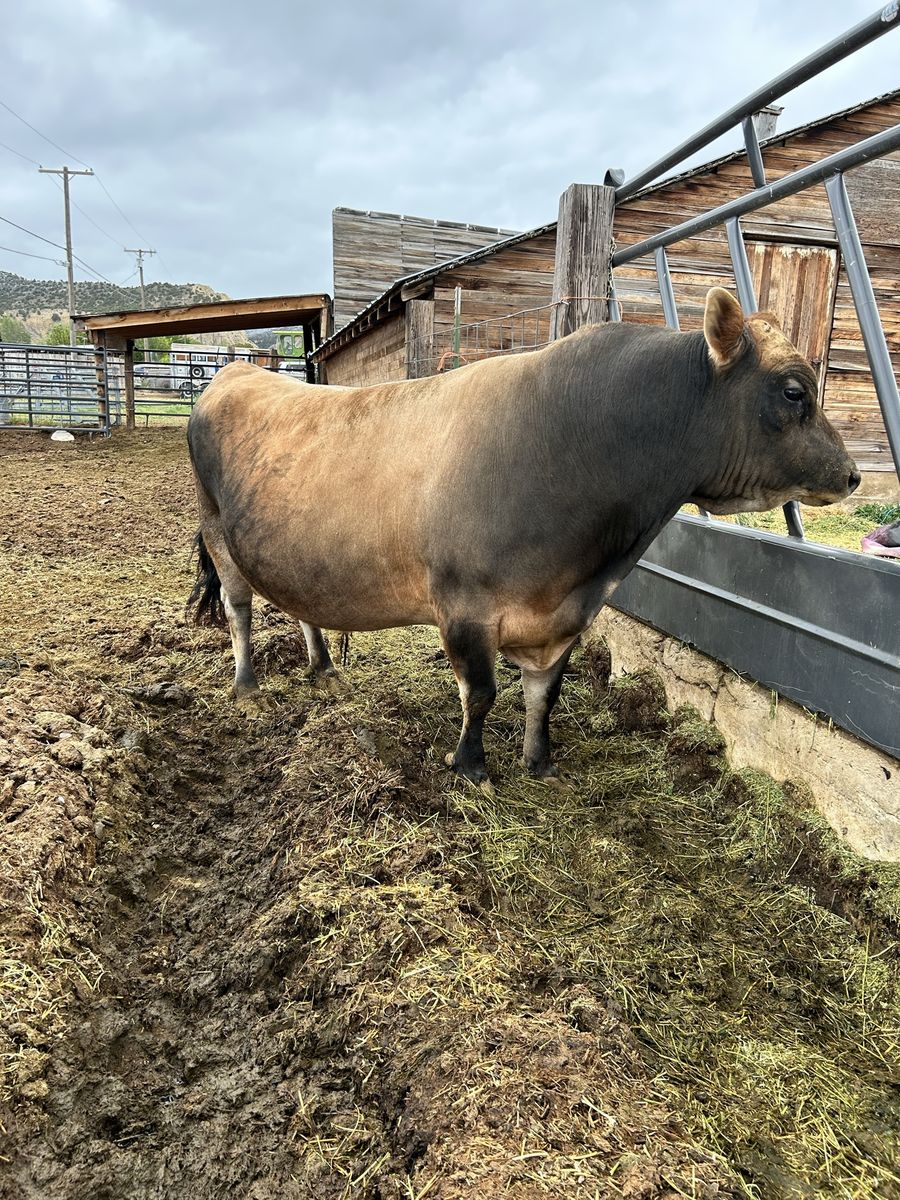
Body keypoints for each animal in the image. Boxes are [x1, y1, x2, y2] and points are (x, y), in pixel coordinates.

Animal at [187, 288, 859, 785]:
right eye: (794, 390)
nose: (851, 475)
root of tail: (231, 374)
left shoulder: (564, 615)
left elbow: (545, 695)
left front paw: (540, 762)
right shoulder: (464, 606)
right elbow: (481, 693)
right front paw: (471, 767)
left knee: (300, 602)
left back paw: (323, 667)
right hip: (217, 530)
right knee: (239, 608)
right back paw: (246, 686)